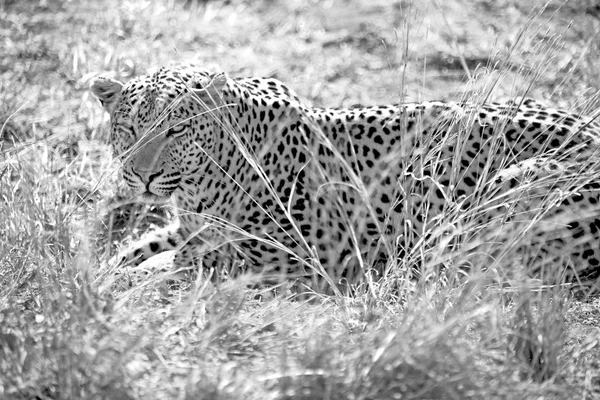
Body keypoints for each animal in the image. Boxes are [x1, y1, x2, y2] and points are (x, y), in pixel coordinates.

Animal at [91, 64, 600, 292]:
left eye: (176, 130)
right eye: (130, 127)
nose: (144, 177)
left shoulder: (294, 258)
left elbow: (186, 264)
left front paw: (138, 276)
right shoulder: (189, 227)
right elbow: (146, 246)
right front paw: (113, 266)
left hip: (506, 189)